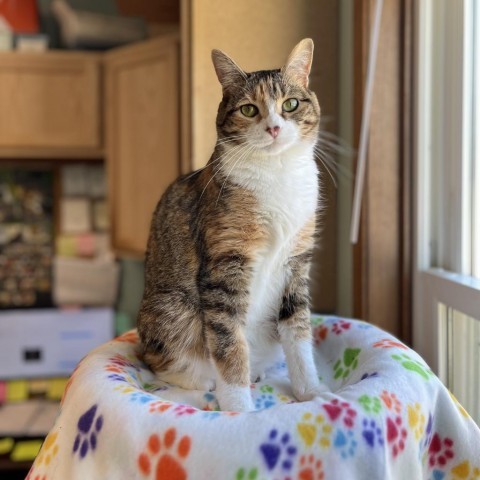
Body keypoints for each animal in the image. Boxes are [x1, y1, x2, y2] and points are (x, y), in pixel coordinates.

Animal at [137, 38, 328, 412]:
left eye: (290, 104)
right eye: (249, 110)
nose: (273, 128)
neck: (277, 173)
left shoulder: (296, 262)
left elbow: (298, 332)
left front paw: (311, 393)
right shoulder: (225, 265)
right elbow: (229, 344)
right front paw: (240, 410)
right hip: (171, 309)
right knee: (161, 364)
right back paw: (201, 387)